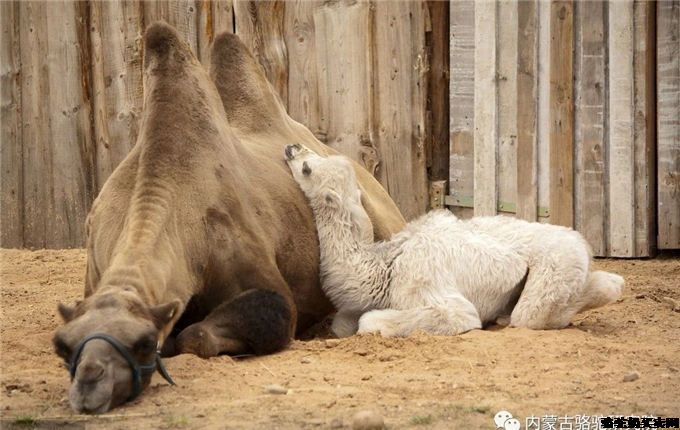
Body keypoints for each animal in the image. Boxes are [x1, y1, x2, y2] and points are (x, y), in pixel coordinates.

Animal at [284, 143, 624, 338]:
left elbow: (371, 322)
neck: (384, 267)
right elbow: (342, 324)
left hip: (556, 267)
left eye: (307, 168)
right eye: (312, 159)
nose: (291, 147)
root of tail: (582, 243)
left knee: (534, 314)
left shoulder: (429, 290)